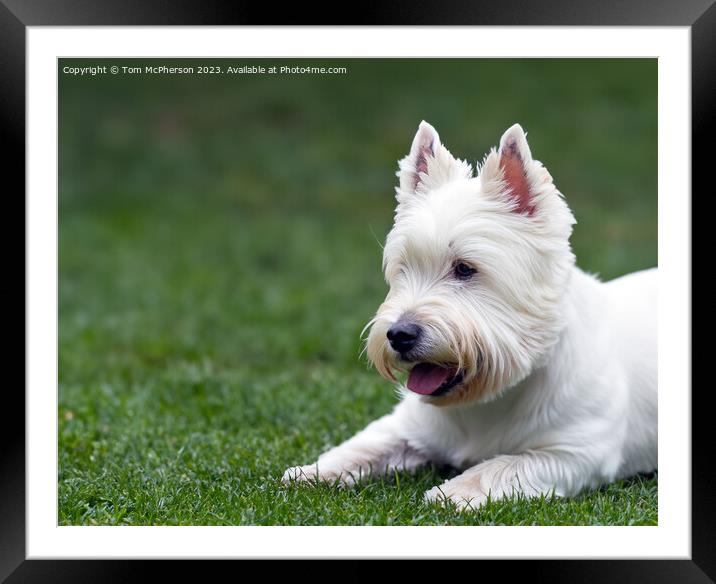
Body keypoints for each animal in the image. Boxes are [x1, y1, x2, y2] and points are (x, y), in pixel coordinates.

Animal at [282, 121, 656, 508]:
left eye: (464, 269)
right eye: (402, 269)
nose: (399, 335)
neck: (487, 400)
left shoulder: (574, 453)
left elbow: (500, 467)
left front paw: (449, 493)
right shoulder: (410, 428)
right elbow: (366, 444)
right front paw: (310, 472)